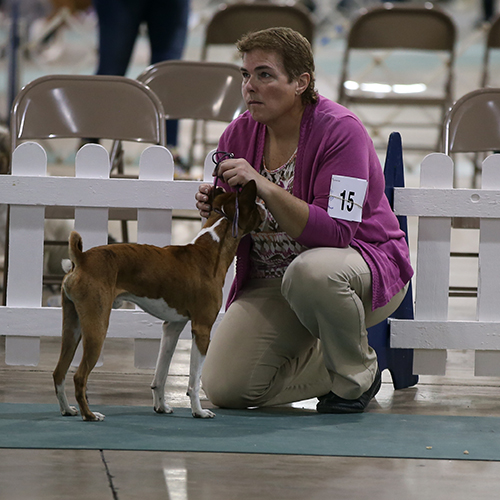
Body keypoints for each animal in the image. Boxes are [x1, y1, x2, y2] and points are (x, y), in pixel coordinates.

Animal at [53, 180, 264, 421]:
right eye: (256, 204)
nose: (265, 208)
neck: (210, 251)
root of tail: (82, 259)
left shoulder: (172, 326)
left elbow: (160, 375)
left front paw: (161, 406)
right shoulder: (202, 330)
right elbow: (194, 381)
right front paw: (198, 411)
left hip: (73, 327)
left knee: (59, 372)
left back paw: (67, 409)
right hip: (96, 329)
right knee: (79, 376)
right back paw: (89, 415)